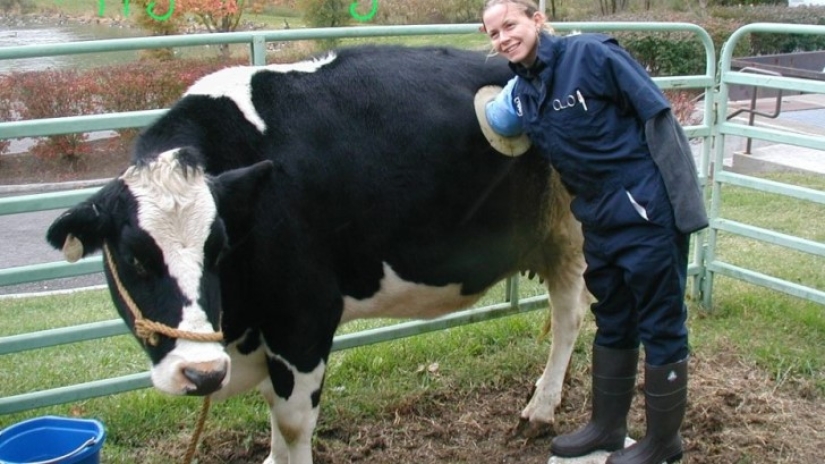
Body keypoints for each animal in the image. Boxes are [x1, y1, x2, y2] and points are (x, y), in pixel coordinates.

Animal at [46, 44, 584, 464]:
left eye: (218, 248)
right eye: (135, 257)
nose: (201, 373)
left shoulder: (302, 317)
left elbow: (292, 422)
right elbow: (271, 410)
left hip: (575, 234)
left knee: (569, 319)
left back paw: (541, 410)